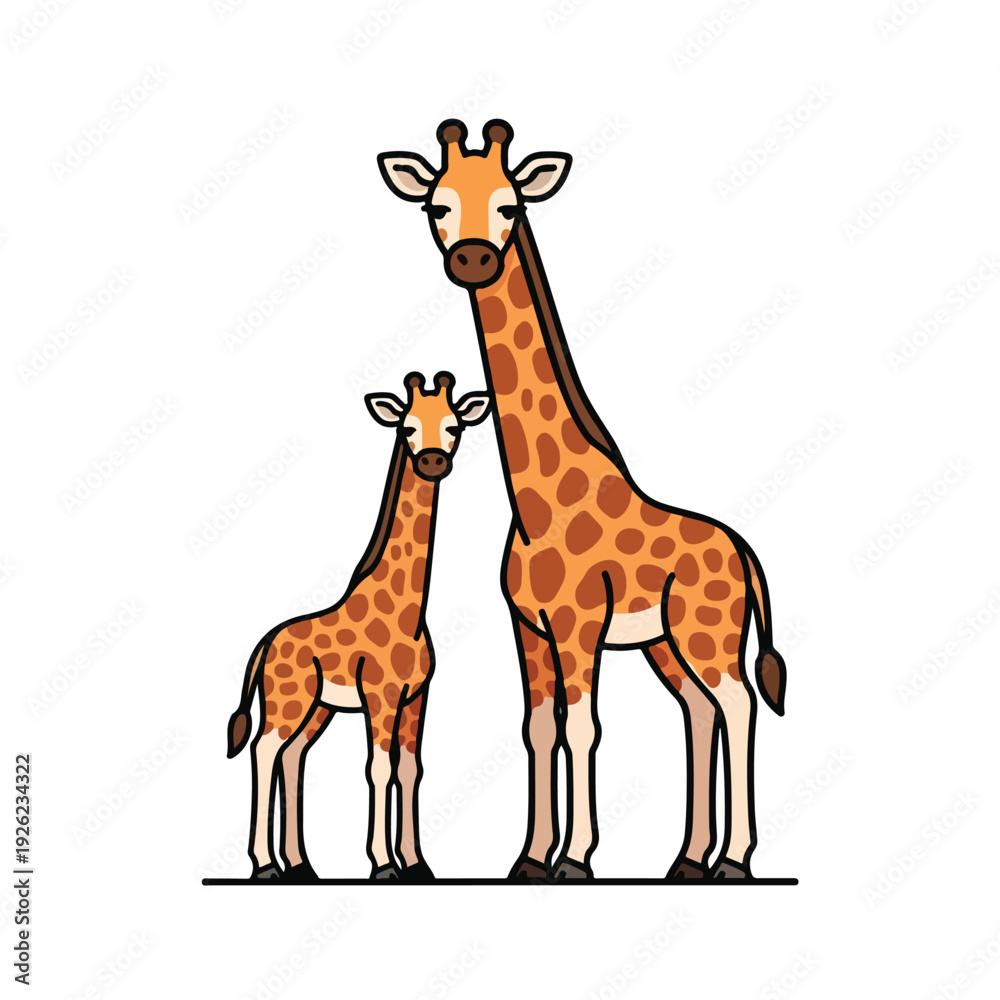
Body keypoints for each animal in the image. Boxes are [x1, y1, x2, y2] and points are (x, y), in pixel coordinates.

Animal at [226, 372, 492, 880]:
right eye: (407, 428)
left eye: (454, 426)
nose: (433, 461)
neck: (410, 611)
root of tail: (265, 644)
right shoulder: (380, 694)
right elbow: (378, 767)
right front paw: (383, 865)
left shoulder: (416, 695)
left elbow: (410, 768)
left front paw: (416, 864)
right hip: (288, 701)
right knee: (264, 751)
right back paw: (265, 866)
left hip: (317, 708)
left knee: (294, 756)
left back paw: (301, 865)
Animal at [378, 120, 787, 880]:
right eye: (437, 206)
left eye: (510, 206)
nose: (473, 258)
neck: (535, 501)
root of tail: (744, 553)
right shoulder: (530, 627)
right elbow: (539, 728)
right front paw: (530, 858)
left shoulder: (577, 623)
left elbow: (585, 727)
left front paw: (575, 858)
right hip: (667, 643)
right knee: (699, 711)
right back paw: (688, 859)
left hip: (708, 632)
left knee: (739, 704)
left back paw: (735, 860)